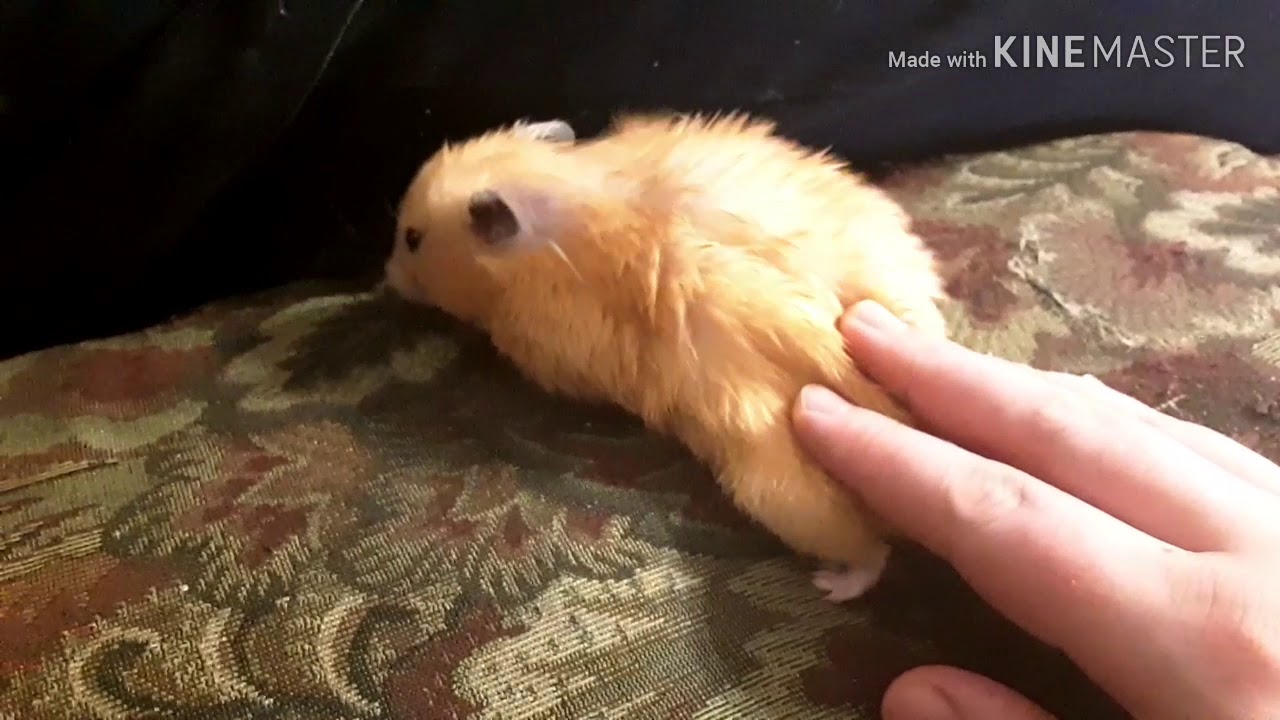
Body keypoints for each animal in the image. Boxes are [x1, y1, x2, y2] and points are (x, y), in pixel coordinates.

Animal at [383, 112, 948, 602]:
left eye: (412, 238)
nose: (385, 280)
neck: (559, 197)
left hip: (784, 494)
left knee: (872, 553)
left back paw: (831, 585)